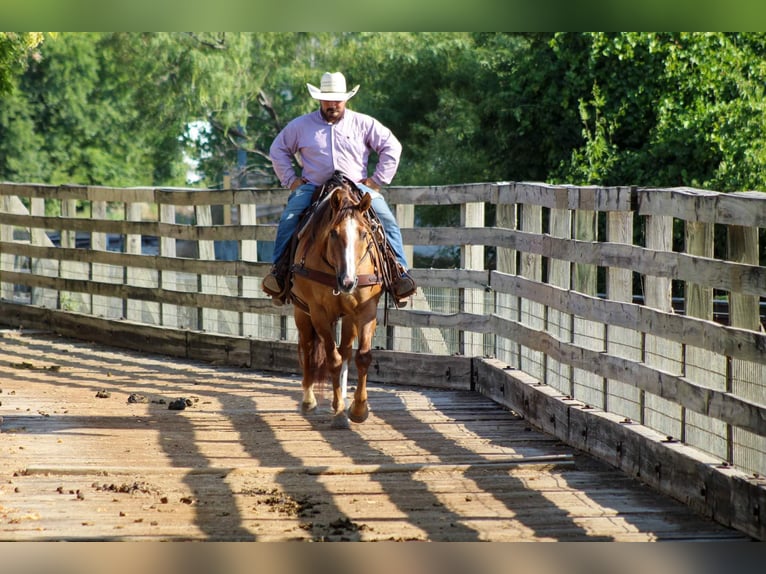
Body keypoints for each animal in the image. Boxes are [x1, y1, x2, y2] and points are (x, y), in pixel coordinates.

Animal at [288, 177, 384, 429]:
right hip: (302, 313)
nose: (347, 282)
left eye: (364, 234)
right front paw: (339, 411)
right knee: (308, 347)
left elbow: (362, 356)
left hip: (348, 317)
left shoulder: (366, 310)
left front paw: (358, 409)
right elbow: (333, 359)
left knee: (346, 351)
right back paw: (309, 400)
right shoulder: (318, 312)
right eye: (333, 233)